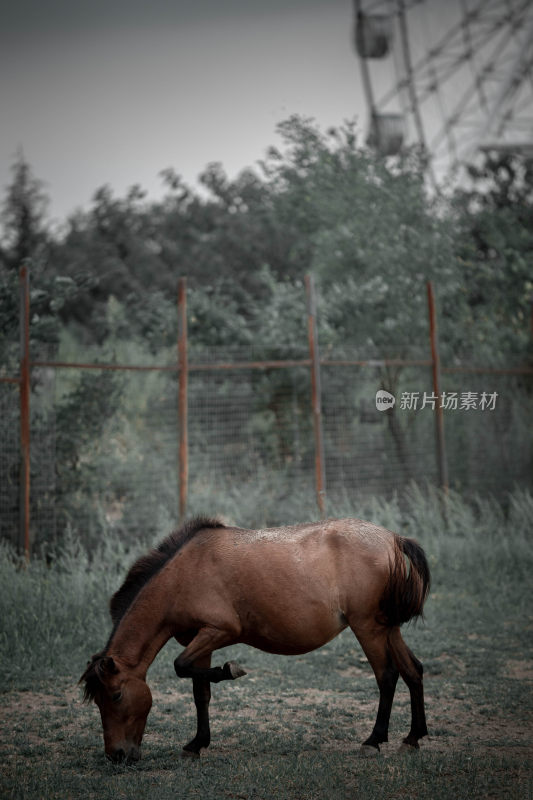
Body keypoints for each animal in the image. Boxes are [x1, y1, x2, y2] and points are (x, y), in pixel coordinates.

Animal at [80, 516, 428, 764]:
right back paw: (413, 738)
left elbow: (181, 667)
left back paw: (374, 741)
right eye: (97, 701)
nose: (116, 755)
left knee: (387, 676)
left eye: (115, 696)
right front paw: (197, 744)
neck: (183, 574)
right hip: (387, 627)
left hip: (368, 627)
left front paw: (230, 670)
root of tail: (393, 540)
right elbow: (199, 692)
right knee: (413, 671)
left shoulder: (219, 631)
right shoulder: (201, 640)